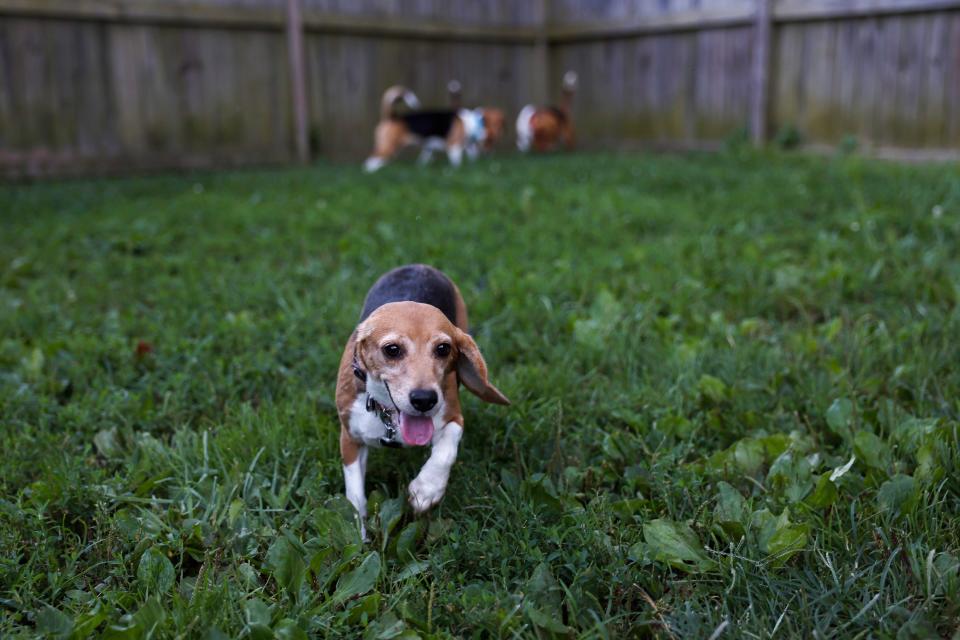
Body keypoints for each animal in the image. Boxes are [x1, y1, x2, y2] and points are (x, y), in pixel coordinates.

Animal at [338, 262, 510, 532]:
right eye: (392, 350)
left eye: (443, 349)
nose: (424, 399)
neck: (390, 417)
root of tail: (419, 266)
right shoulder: (350, 437)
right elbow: (355, 498)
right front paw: (360, 534)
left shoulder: (453, 416)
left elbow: (446, 450)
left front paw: (425, 490)